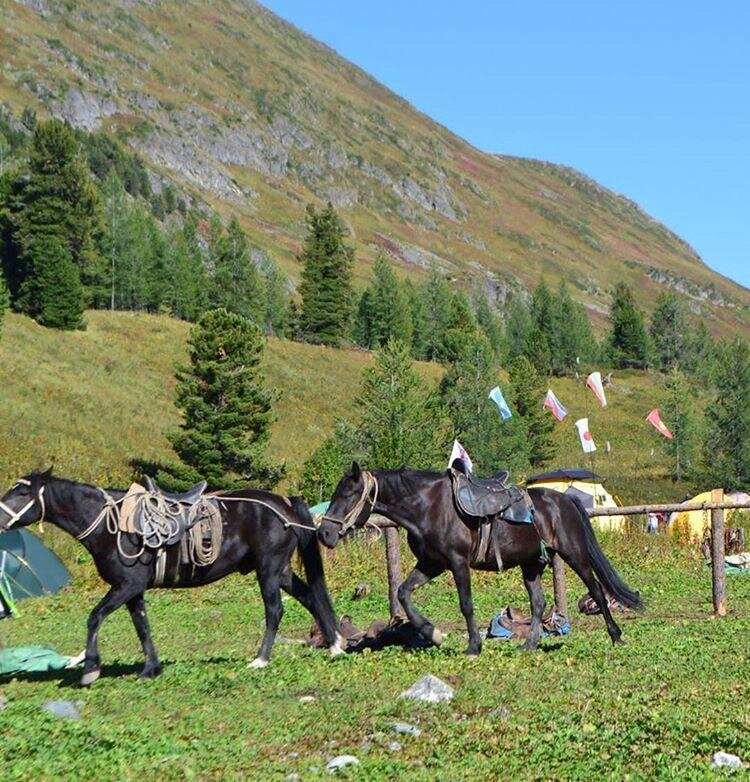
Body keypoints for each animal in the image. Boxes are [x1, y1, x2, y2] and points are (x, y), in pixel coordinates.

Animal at [0, 472, 346, 688]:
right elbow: (142, 627)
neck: (111, 526)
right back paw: (334, 645)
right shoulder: (133, 591)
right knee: (310, 597)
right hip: (282, 571)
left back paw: (261, 659)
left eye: (22, 491)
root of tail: (284, 504)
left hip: (269, 570)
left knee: (275, 610)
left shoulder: (125, 587)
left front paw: (90, 669)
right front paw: (151, 669)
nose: (0, 518)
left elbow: (94, 617)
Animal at [320, 462, 644, 660]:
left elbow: (466, 605)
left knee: (598, 591)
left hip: (575, 554)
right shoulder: (431, 564)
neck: (427, 506)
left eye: (348, 494)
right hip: (531, 565)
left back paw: (616, 636)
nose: (324, 533)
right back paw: (529, 644)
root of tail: (565, 501)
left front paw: (473, 646)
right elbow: (403, 593)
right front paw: (433, 634)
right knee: (538, 604)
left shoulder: (457, 563)